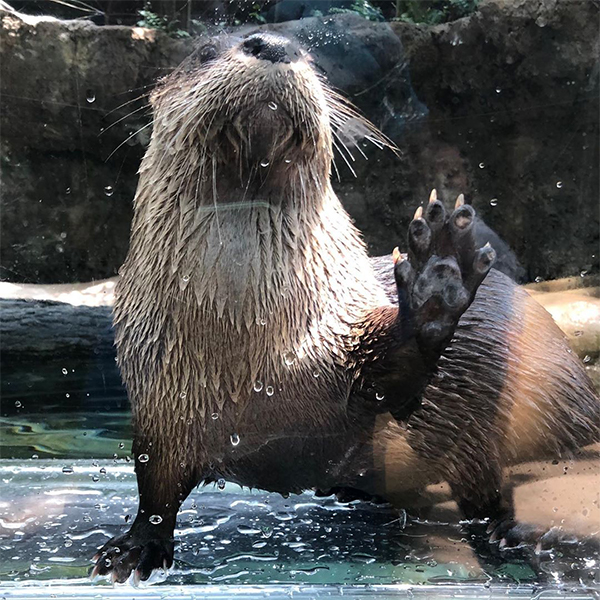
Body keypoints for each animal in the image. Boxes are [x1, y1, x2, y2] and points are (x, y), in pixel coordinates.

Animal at [91, 31, 596, 580]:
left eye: (314, 60)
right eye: (204, 52)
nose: (273, 43)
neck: (251, 352)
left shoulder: (348, 342)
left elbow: (396, 375)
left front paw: (435, 282)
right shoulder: (161, 405)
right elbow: (154, 489)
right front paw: (132, 548)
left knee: (487, 491)